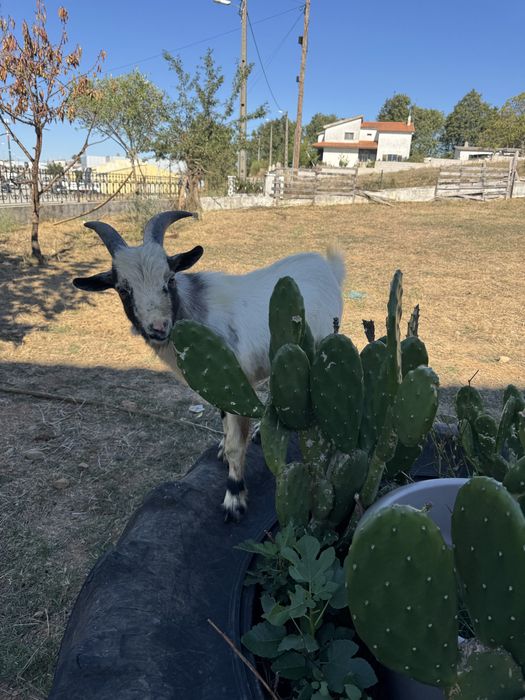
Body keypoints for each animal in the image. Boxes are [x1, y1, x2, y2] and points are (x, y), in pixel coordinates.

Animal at [73, 210, 345, 521]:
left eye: (170, 279)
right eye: (122, 289)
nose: (158, 328)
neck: (195, 314)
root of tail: (326, 265)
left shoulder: (235, 382)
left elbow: (236, 446)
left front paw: (234, 497)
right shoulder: (221, 386)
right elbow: (224, 425)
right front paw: (222, 449)